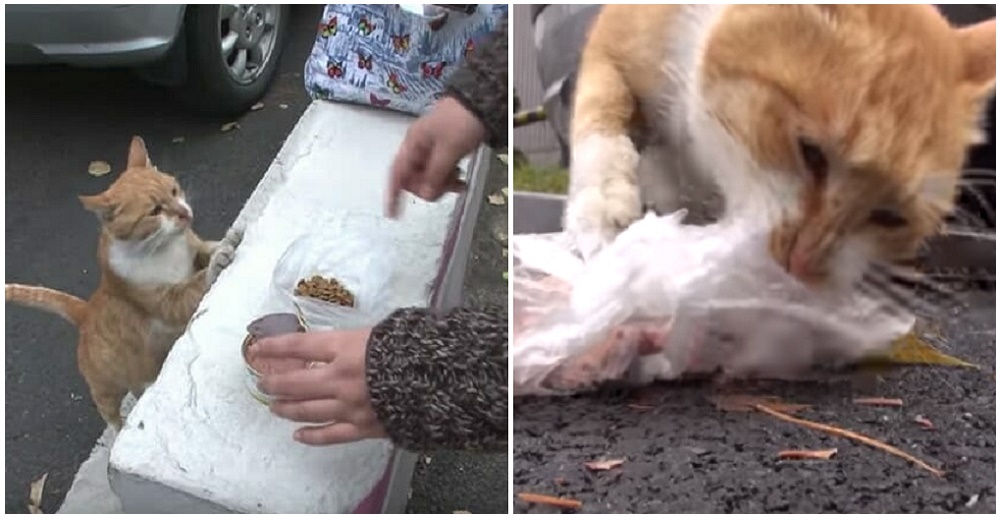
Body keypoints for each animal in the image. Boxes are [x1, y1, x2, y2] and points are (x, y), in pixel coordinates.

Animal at [7, 136, 240, 428]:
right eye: (155, 211)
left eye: (174, 190)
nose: (186, 214)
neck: (164, 249)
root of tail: (85, 312)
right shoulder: (165, 302)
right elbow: (195, 284)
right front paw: (218, 261)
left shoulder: (194, 251)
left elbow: (206, 249)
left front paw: (224, 241)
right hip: (106, 390)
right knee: (111, 416)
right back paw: (120, 426)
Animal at [568, 4, 996, 290]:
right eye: (811, 152)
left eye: (890, 217)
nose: (802, 262)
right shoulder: (612, 40)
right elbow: (601, 110)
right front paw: (602, 208)